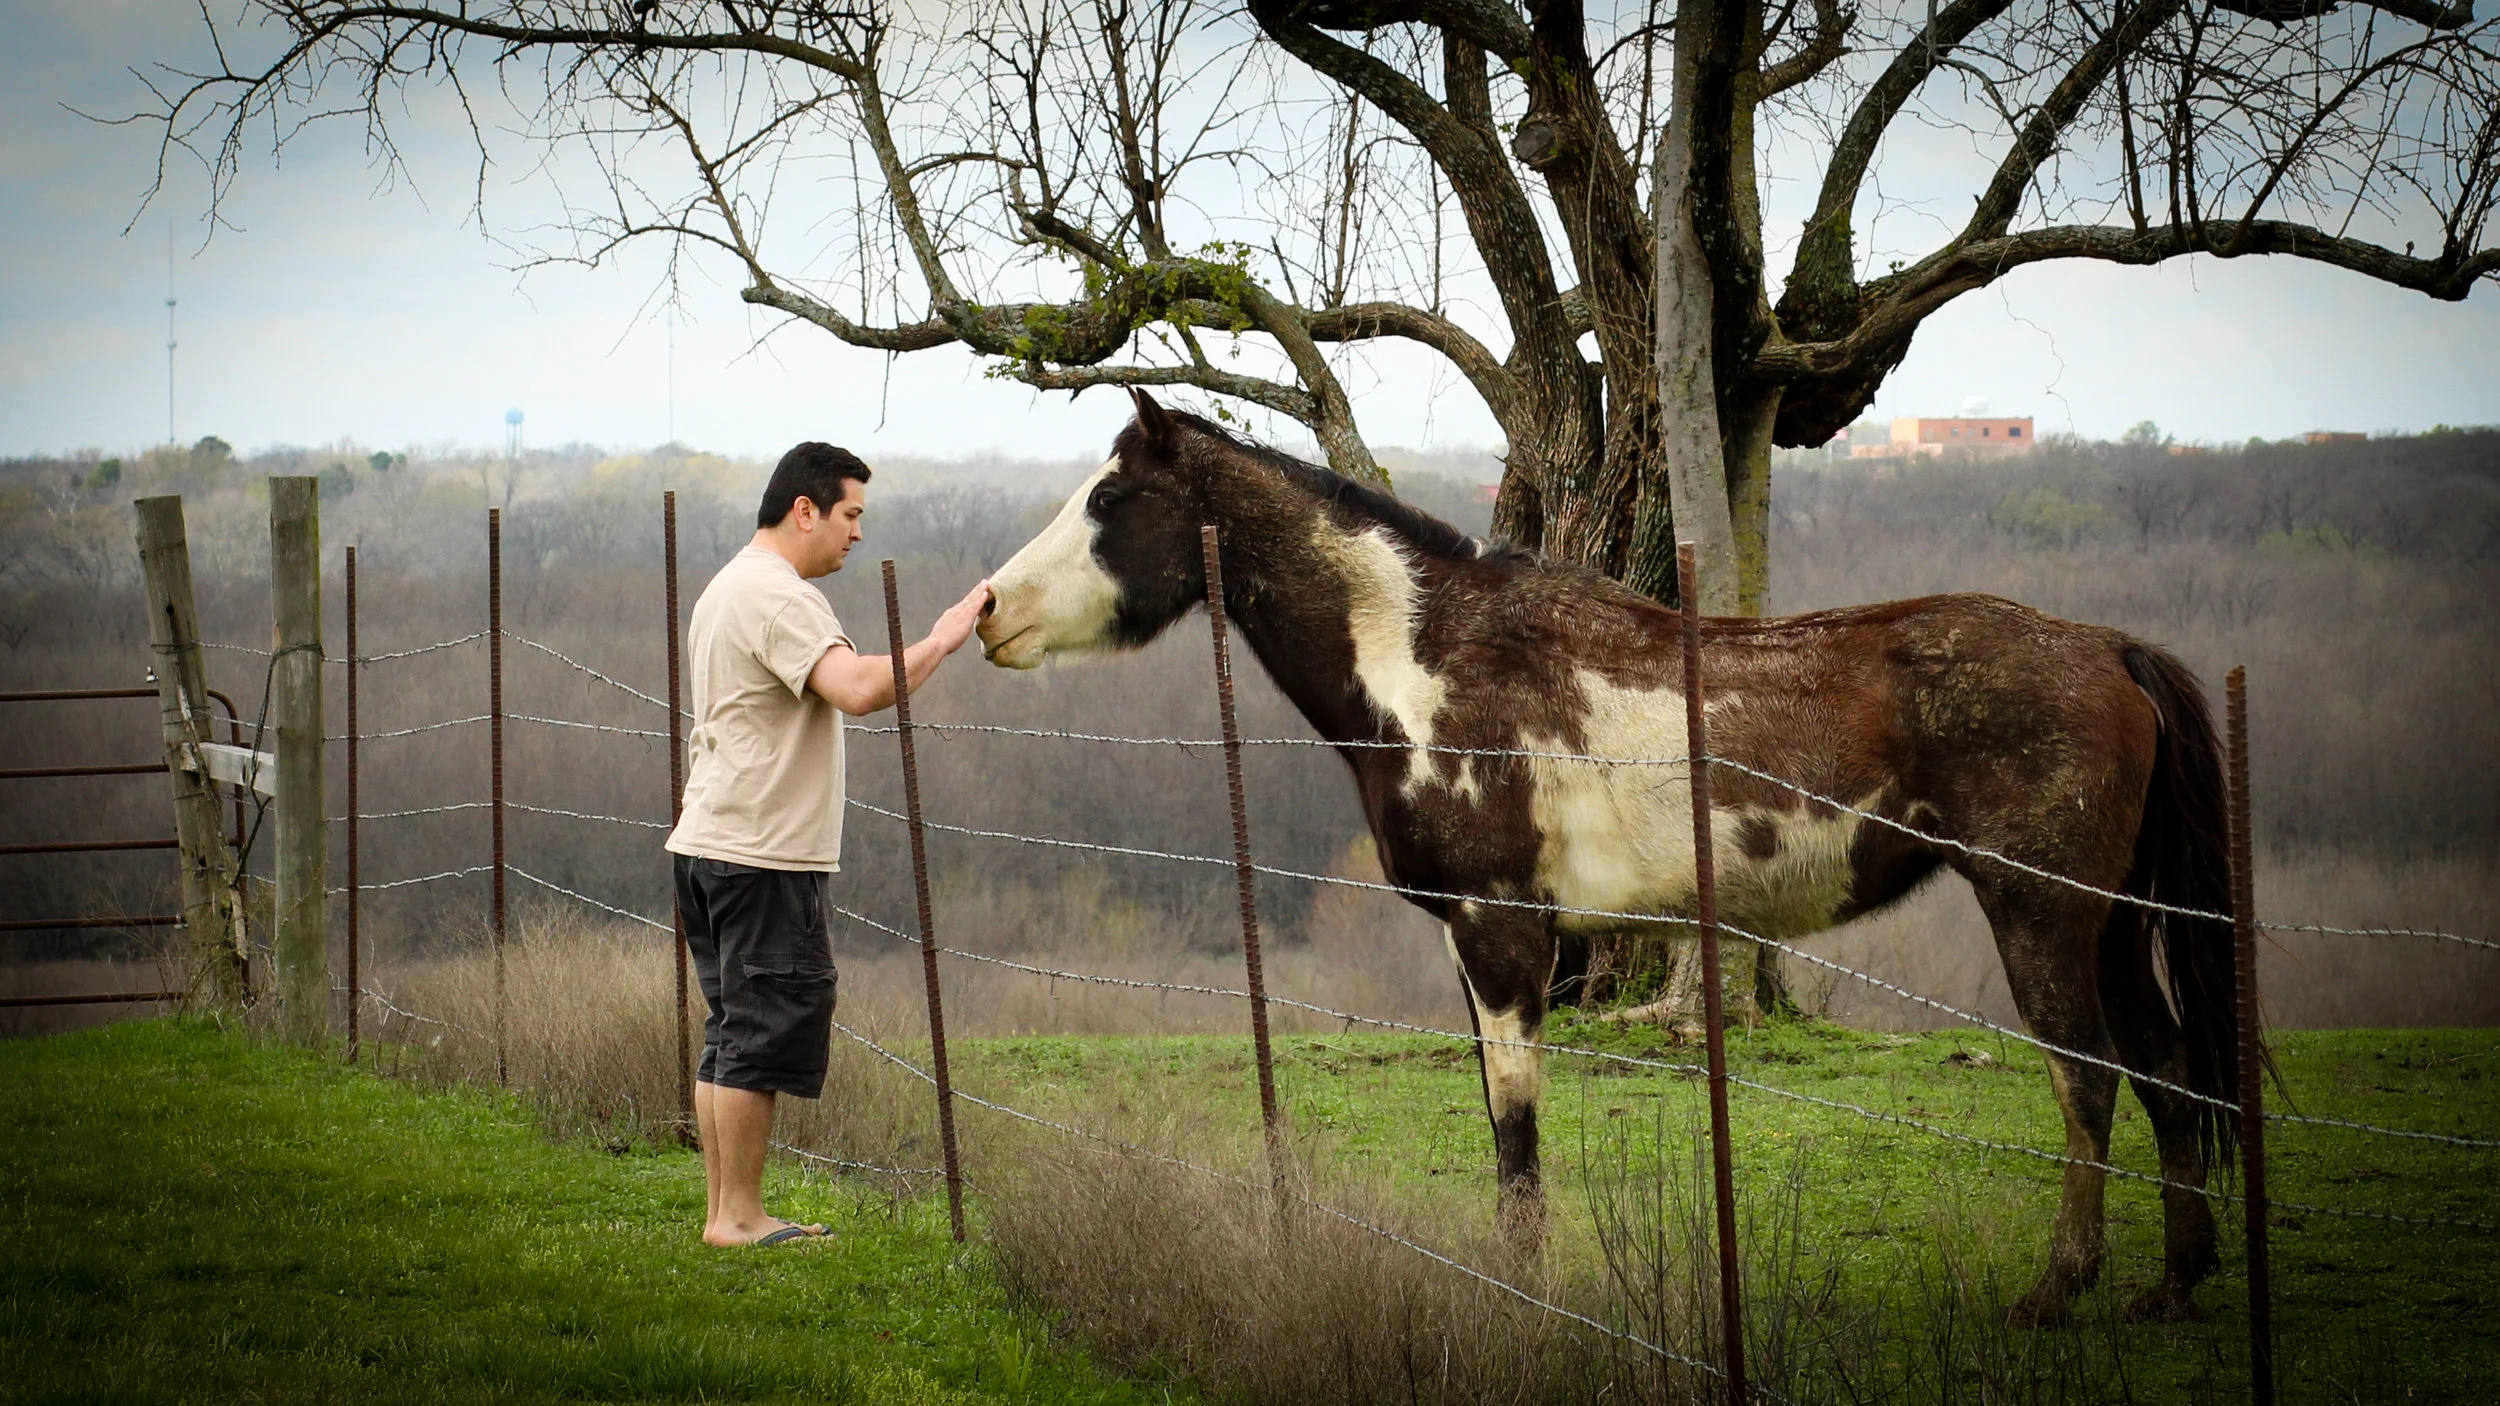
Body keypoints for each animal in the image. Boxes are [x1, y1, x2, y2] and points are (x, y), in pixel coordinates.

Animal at [975, 389, 2241, 1325]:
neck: (1427, 659)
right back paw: (2174, 1286)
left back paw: (2057, 1288)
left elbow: (1518, 1133)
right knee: (2167, 1071)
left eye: (1109, 497)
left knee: (2088, 1080)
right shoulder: (1481, 946)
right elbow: (1499, 1123)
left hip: (2040, 917)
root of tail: (2105, 647)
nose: (987, 610)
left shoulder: (1502, 936)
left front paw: (1525, 1297)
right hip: (2111, 925)